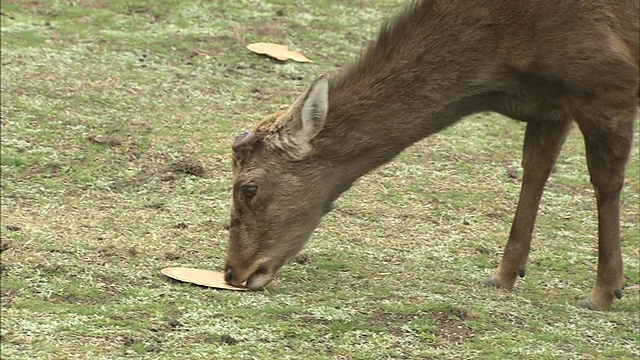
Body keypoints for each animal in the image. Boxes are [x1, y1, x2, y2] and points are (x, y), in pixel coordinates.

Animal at [222, 0, 636, 310]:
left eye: (248, 188)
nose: (233, 271)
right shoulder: (549, 106)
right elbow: (535, 169)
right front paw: (504, 274)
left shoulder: (610, 84)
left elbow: (606, 181)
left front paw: (604, 291)